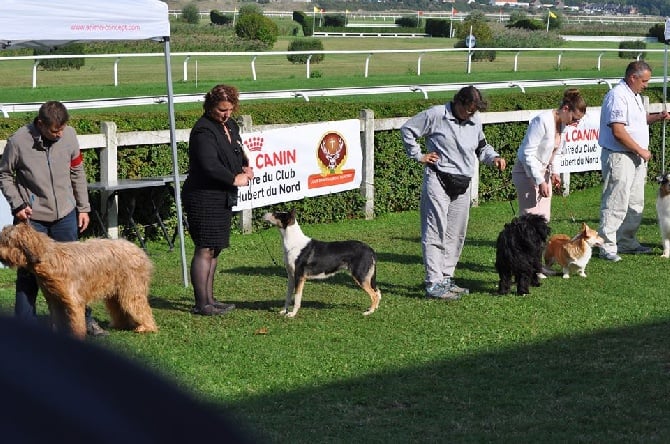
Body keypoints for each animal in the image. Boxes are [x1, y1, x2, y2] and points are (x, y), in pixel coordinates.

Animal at [0, 224, 158, 338]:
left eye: (6, 242)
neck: (47, 258)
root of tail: (138, 249)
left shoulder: (73, 301)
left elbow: (76, 324)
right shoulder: (54, 300)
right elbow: (56, 320)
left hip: (131, 288)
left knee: (140, 306)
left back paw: (147, 327)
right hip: (115, 292)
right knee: (119, 307)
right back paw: (120, 325)